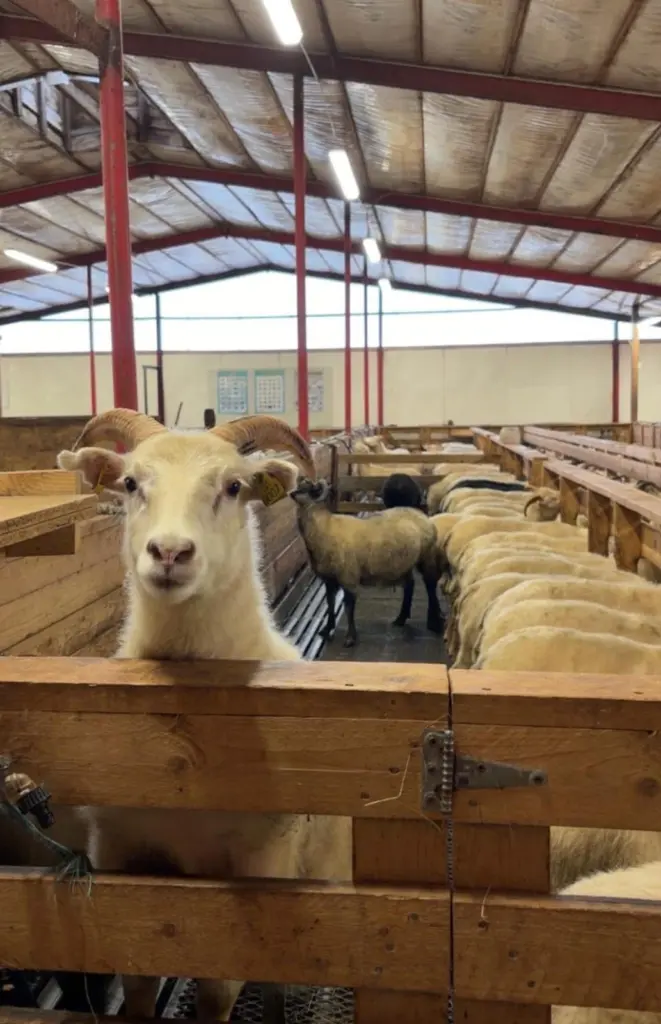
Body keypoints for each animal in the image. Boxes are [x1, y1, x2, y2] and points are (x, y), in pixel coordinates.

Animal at [57, 408, 352, 1022]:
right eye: (130, 484)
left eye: (234, 487)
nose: (170, 553)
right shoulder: (121, 852)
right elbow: (138, 986)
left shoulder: (257, 868)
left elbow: (219, 990)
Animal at [291, 477, 442, 647]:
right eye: (300, 486)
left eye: (310, 489)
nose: (292, 493)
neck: (324, 527)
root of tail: (419, 514)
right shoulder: (328, 579)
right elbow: (330, 604)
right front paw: (327, 629)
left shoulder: (348, 576)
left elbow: (348, 606)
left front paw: (350, 637)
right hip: (405, 562)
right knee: (410, 586)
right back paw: (400, 619)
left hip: (427, 556)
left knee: (430, 585)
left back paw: (434, 622)